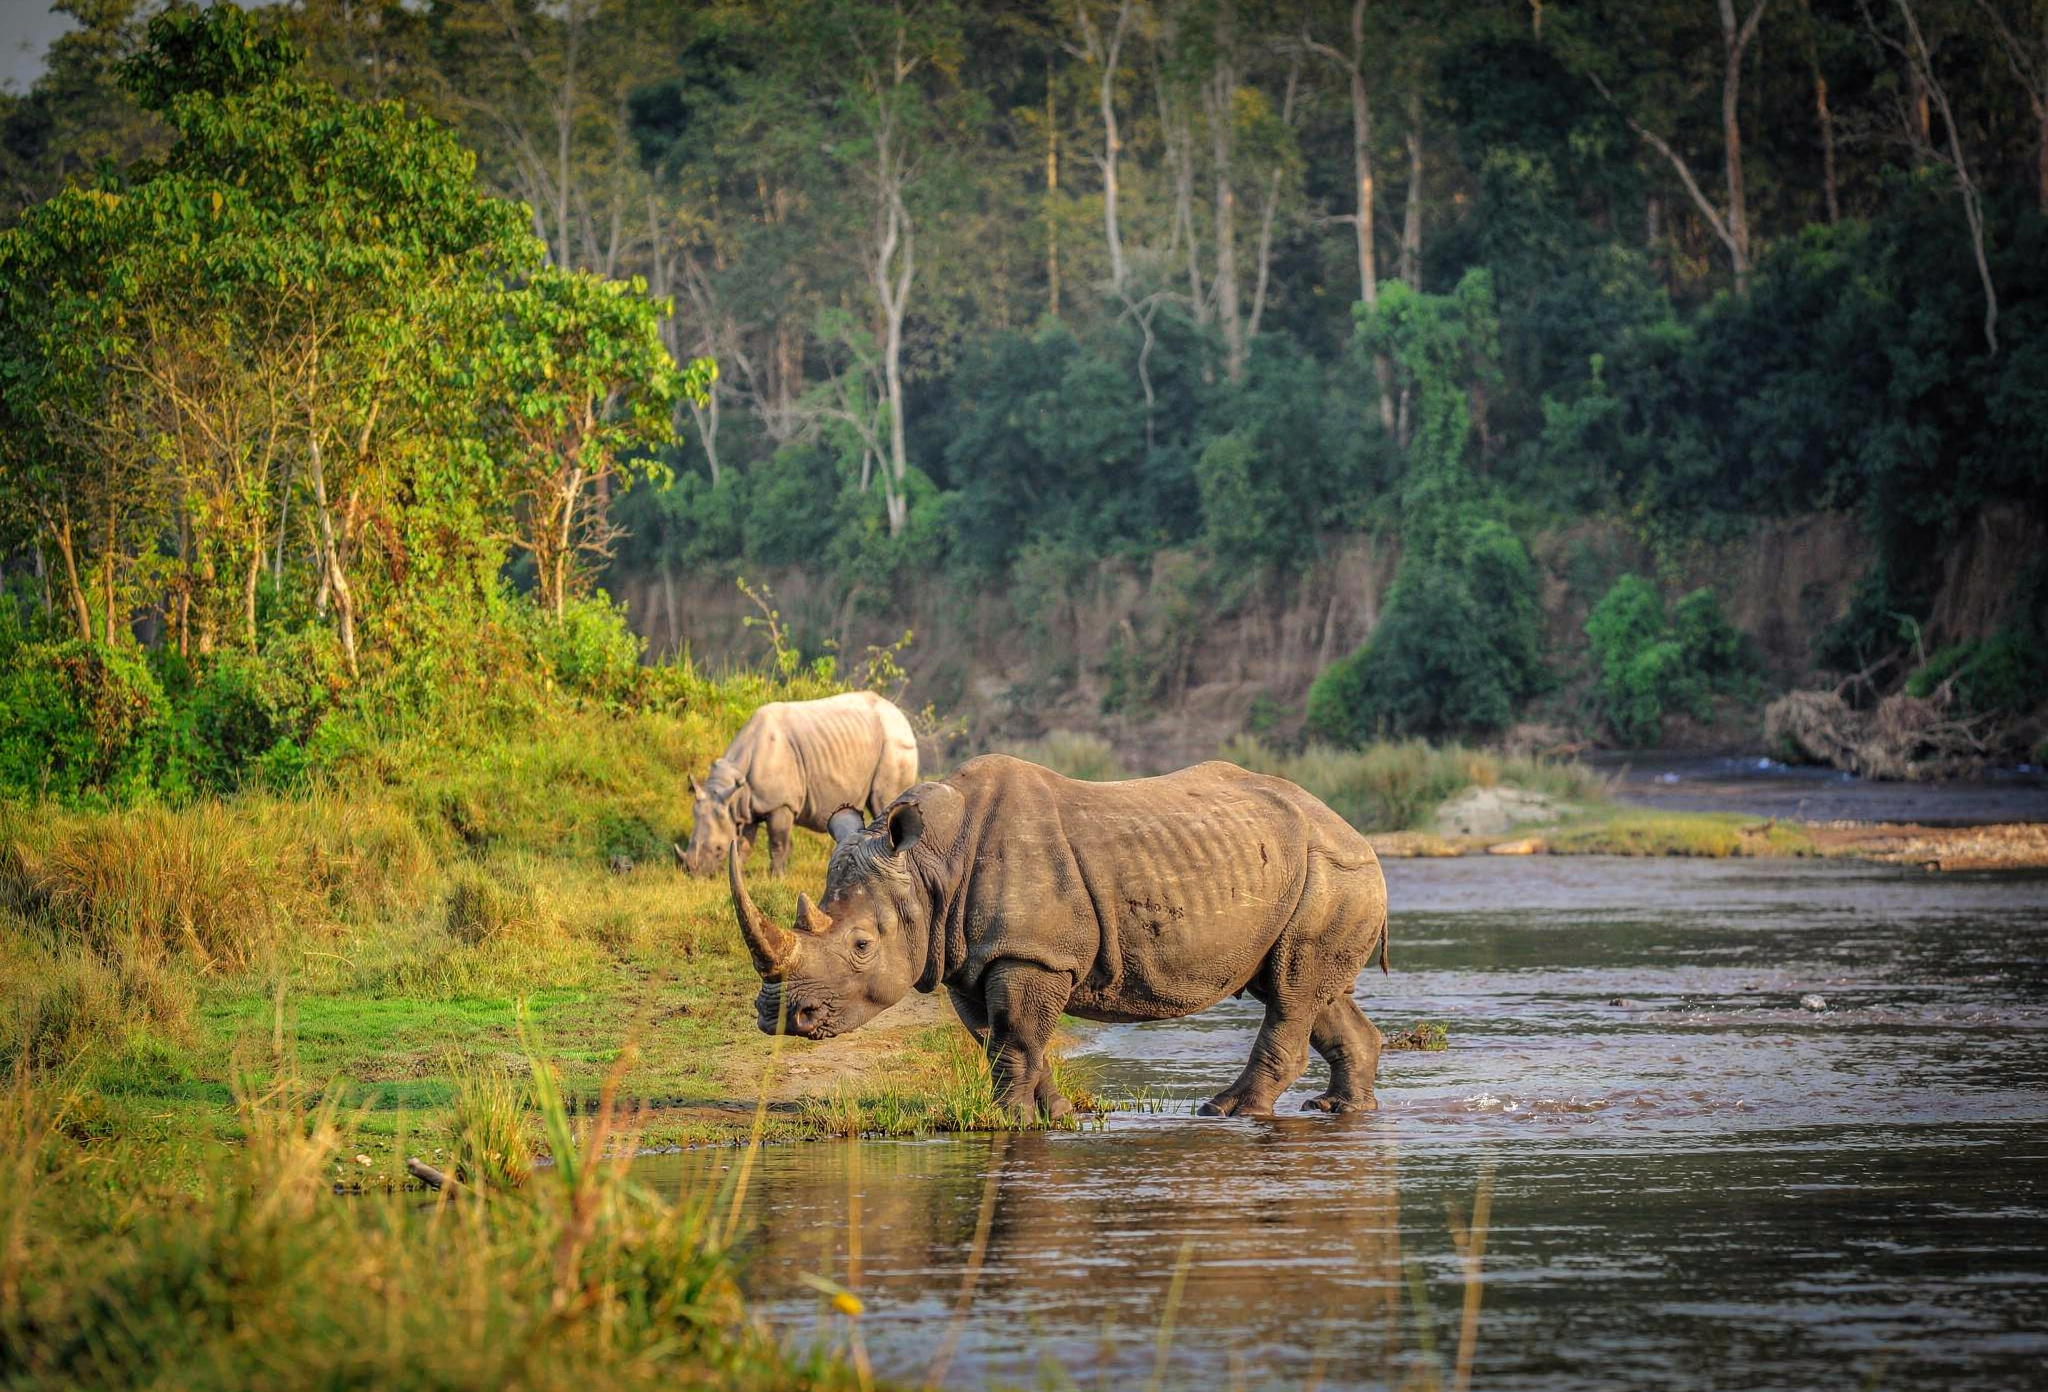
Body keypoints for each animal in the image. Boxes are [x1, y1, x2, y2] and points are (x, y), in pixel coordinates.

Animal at [678, 691, 919, 879]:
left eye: (717, 850)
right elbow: (744, 844)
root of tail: (903, 719)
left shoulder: (780, 804)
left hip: (895, 744)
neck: (732, 786)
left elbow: (777, 844)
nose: (695, 875)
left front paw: (776, 878)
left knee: (885, 804)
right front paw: (736, 871)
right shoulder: (746, 806)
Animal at [726, 754, 1390, 1120]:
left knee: (1291, 990)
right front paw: (1054, 1111)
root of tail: (1356, 831)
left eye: (862, 946)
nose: (780, 1017)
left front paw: (1010, 1119)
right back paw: (1341, 1109)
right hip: (1306, 873)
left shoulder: (1032, 954)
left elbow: (1017, 1036)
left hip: (1332, 869)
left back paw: (1229, 1112)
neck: (929, 866)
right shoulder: (970, 956)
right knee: (1304, 990)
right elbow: (998, 1038)